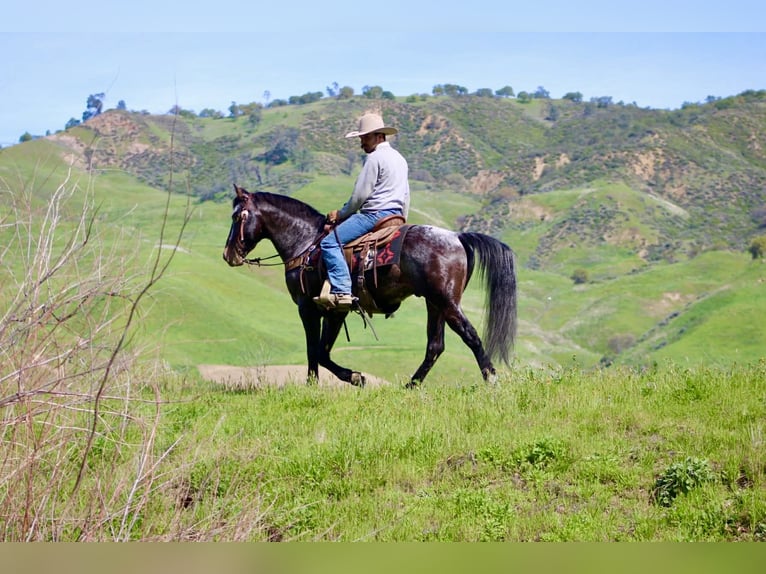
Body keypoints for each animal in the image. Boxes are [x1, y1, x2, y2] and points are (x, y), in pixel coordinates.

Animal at [222, 184, 517, 388]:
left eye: (237, 217)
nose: (228, 255)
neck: (306, 244)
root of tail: (457, 237)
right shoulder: (335, 311)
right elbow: (322, 351)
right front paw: (355, 377)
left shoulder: (307, 308)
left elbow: (314, 350)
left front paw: (318, 384)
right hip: (435, 303)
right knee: (435, 346)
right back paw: (410, 386)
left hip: (446, 301)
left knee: (470, 336)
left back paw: (492, 380)